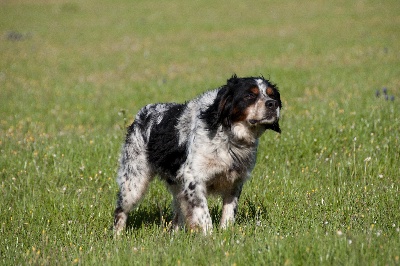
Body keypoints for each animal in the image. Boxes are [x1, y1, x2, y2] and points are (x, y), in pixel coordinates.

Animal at [112, 75, 282, 235]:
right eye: (249, 95)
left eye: (271, 95)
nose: (272, 104)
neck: (229, 138)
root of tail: (141, 114)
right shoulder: (193, 178)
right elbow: (204, 214)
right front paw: (210, 237)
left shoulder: (235, 182)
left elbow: (228, 214)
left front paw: (225, 234)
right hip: (133, 183)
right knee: (120, 210)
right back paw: (117, 237)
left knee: (177, 215)